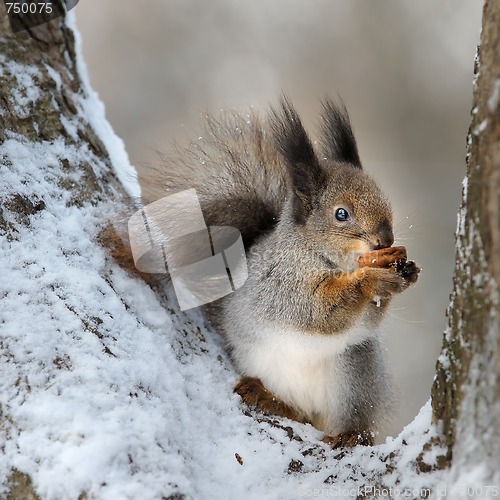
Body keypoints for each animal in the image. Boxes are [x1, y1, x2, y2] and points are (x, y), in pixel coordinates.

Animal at [139, 95, 420, 448]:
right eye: (341, 214)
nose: (386, 240)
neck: (326, 257)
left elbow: (366, 321)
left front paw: (405, 272)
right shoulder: (282, 282)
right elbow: (317, 312)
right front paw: (373, 279)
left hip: (356, 374)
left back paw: (351, 433)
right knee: (297, 412)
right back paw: (269, 398)